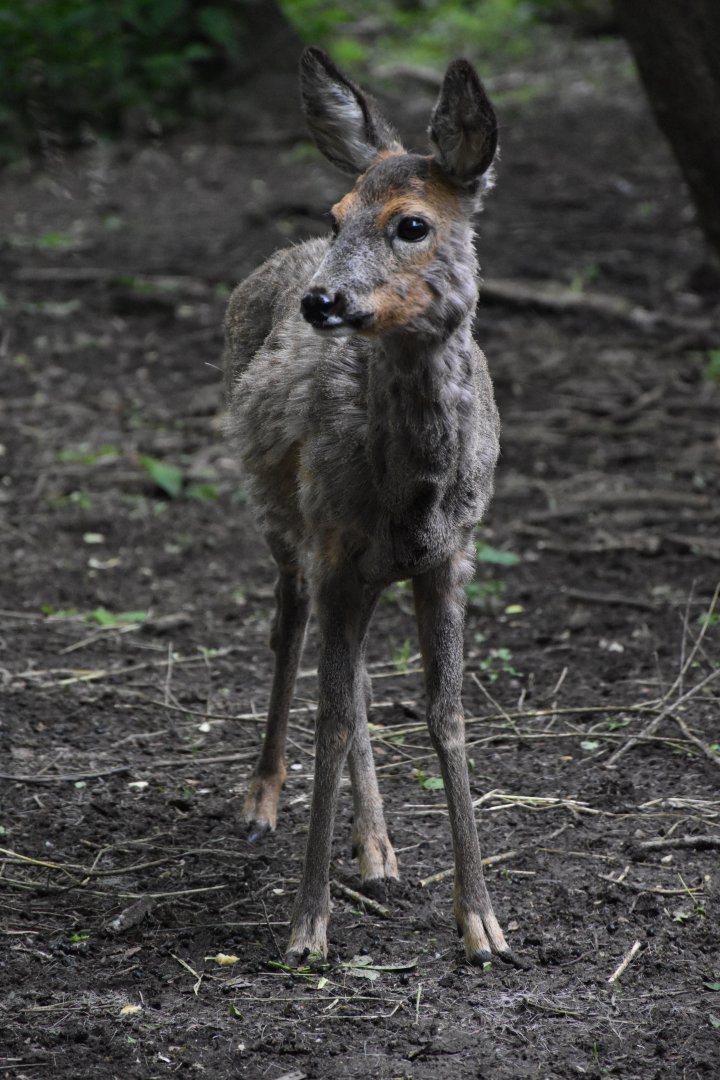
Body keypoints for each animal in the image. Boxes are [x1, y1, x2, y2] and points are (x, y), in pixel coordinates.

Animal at [223, 47, 522, 969]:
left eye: (412, 224)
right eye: (338, 213)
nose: (323, 301)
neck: (411, 496)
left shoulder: (454, 555)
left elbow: (446, 713)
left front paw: (483, 924)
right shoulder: (333, 543)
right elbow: (328, 712)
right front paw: (307, 927)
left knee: (351, 674)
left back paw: (379, 850)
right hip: (283, 519)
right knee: (291, 629)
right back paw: (262, 801)